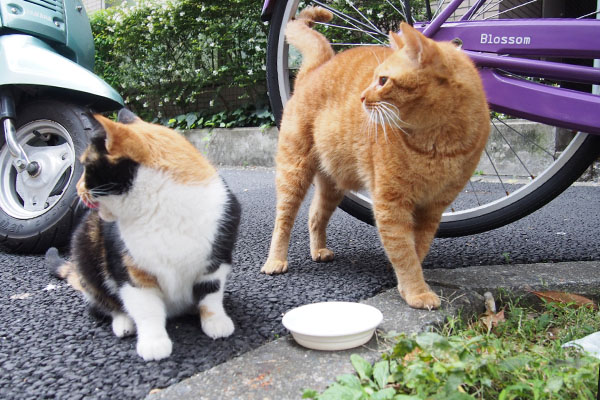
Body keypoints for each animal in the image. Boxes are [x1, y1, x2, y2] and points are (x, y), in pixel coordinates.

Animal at [47, 108, 240, 360]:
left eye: (87, 167)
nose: (77, 189)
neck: (161, 207)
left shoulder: (216, 260)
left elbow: (211, 295)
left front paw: (216, 322)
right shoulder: (132, 272)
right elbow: (147, 309)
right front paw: (153, 342)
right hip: (85, 249)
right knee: (102, 302)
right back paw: (124, 323)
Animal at [260, 6, 490, 310]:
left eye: (382, 81)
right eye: (375, 78)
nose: (361, 97)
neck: (437, 144)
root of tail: (318, 66)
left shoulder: (433, 209)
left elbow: (417, 249)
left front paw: (409, 287)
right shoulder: (391, 205)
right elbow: (404, 253)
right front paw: (416, 291)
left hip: (333, 184)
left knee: (315, 215)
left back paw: (318, 250)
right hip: (294, 171)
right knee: (283, 220)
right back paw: (275, 260)